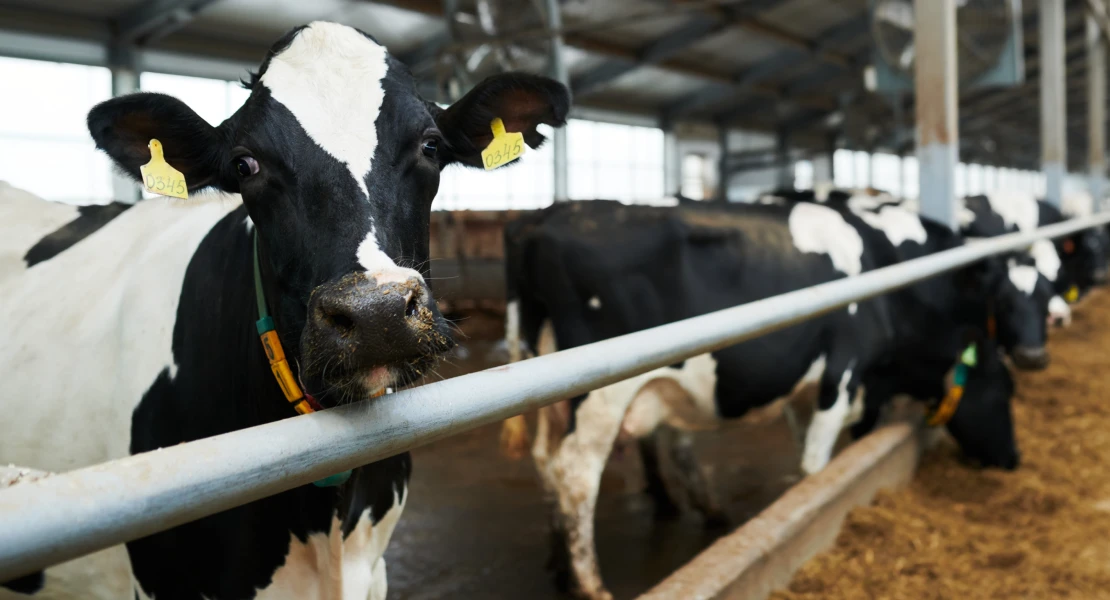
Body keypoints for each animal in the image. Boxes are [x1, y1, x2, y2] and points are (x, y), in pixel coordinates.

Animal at [508, 198, 1043, 594]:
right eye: (1003, 390)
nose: (1015, 458)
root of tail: (543, 217)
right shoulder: (843, 372)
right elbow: (817, 463)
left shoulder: (807, 390)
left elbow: (809, 461)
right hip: (600, 391)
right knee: (577, 472)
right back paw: (591, 585)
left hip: (549, 390)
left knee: (544, 459)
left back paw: (559, 562)